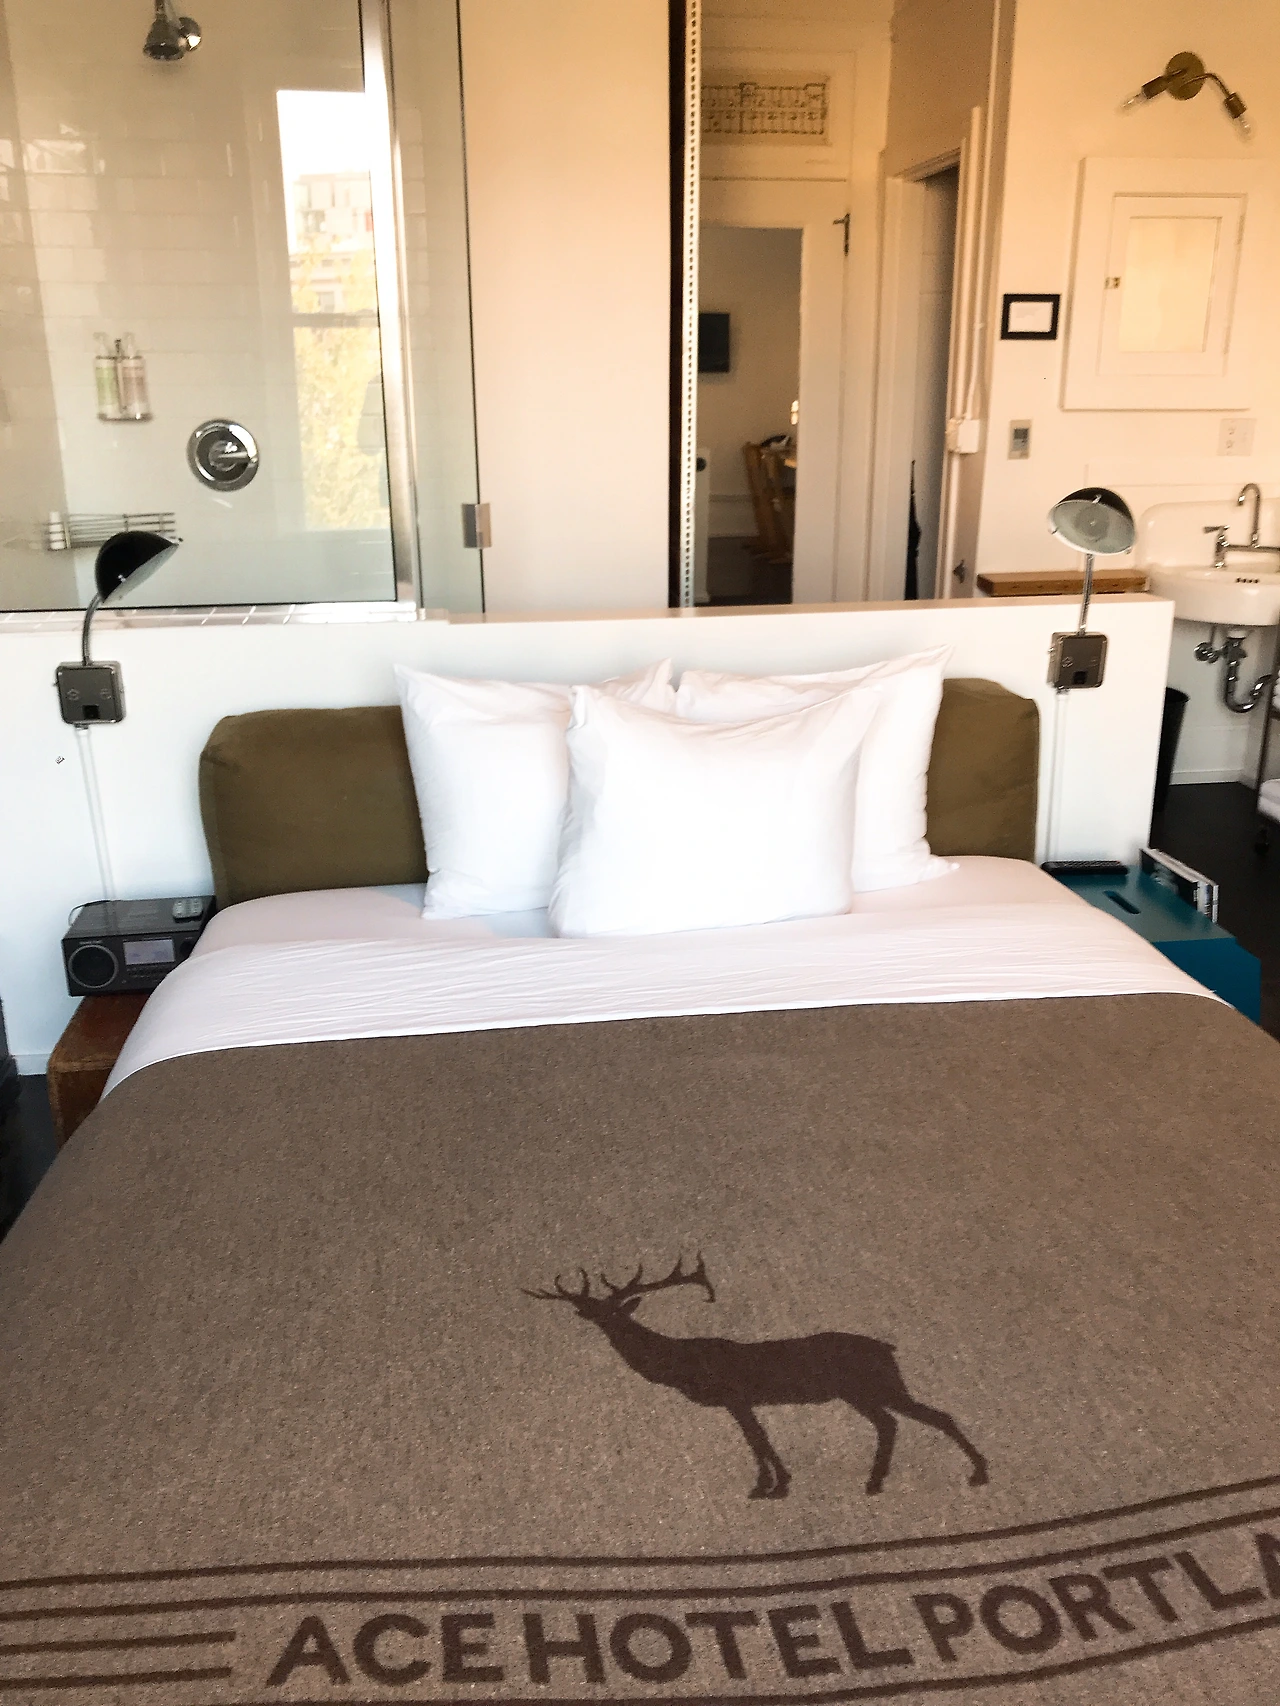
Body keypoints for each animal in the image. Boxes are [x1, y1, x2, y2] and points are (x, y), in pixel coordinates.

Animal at [525, 1255, 989, 1501]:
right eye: (598, 1311)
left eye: (615, 1313)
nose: (590, 1314)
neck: (678, 1363)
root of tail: (888, 1348)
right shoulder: (740, 1401)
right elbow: (758, 1440)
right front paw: (774, 1484)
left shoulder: (736, 1396)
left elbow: (758, 1439)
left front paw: (770, 1486)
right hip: (865, 1392)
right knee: (896, 1422)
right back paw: (877, 1482)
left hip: (872, 1385)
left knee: (928, 1417)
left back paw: (977, 1474)